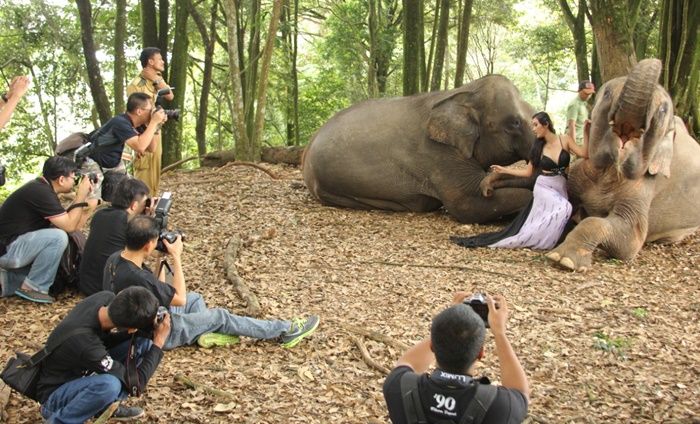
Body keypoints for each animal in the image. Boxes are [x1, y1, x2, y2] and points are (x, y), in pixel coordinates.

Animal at [548, 58, 700, 272]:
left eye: (663, 110)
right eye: (607, 93)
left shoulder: (646, 185)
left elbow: (629, 241)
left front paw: (564, 260)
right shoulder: (579, 171)